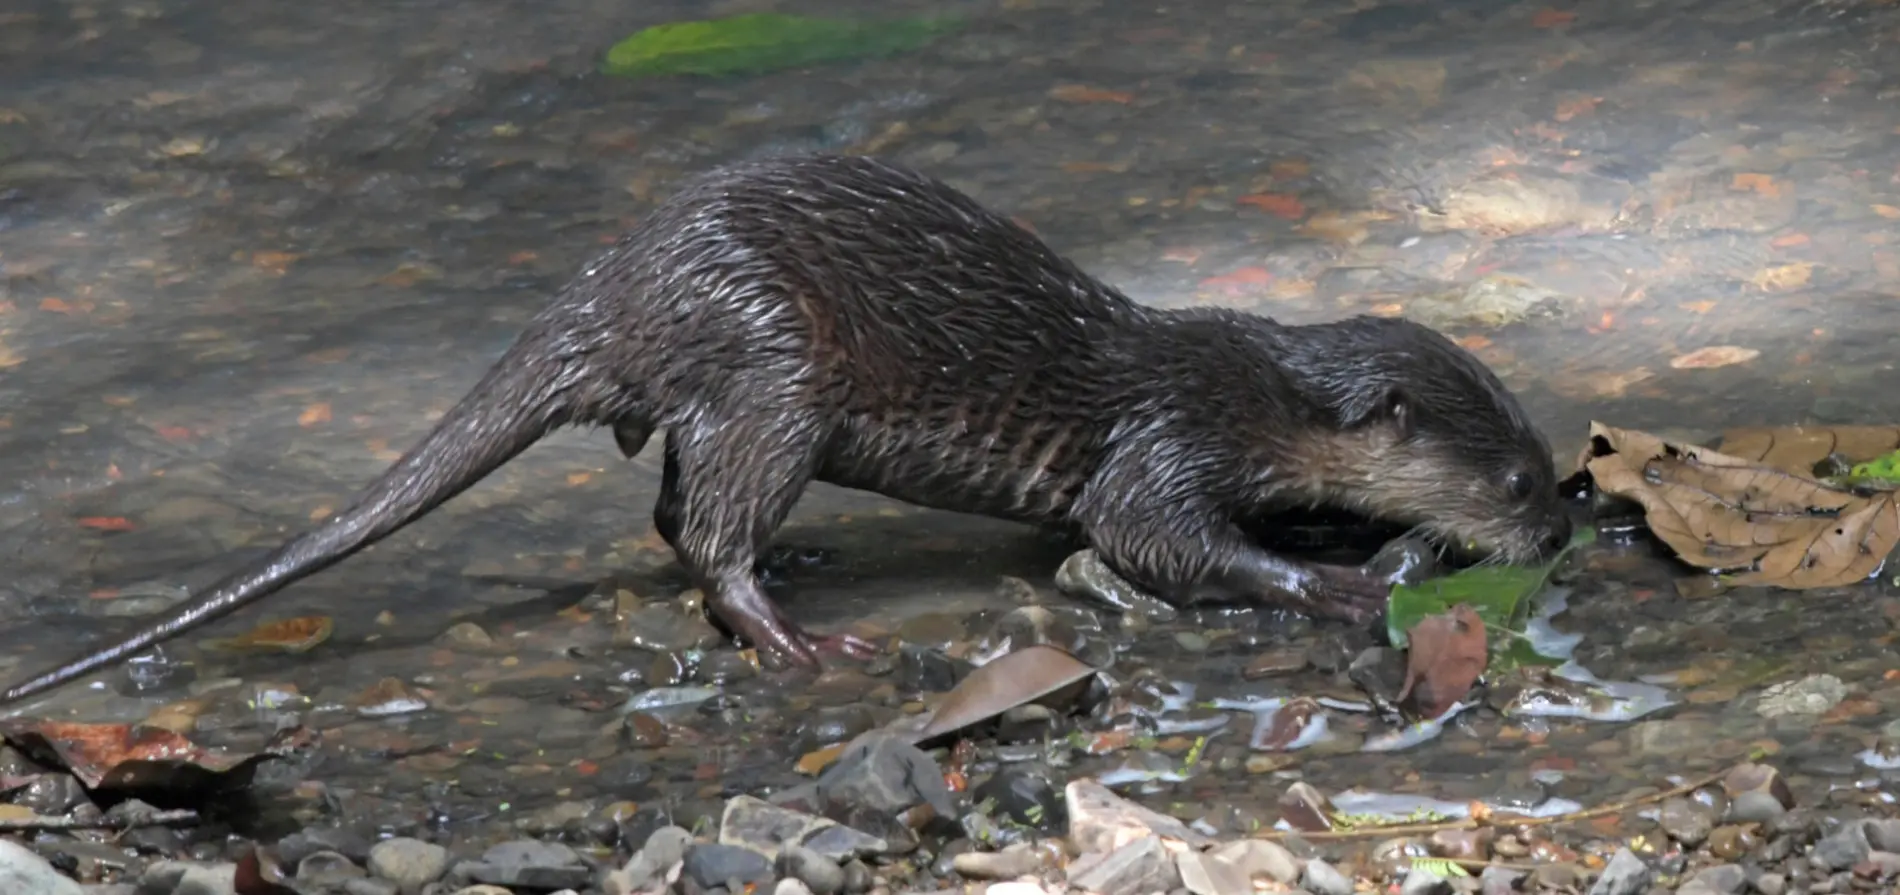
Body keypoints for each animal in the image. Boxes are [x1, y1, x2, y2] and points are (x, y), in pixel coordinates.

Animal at [0, 154, 1569, 705]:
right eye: (1512, 475)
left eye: (1553, 461)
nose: (1562, 525)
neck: (1252, 393)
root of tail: (614, 287)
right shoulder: (1167, 438)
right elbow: (1151, 538)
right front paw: (1335, 577)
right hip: (772, 367)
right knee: (711, 527)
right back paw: (796, 629)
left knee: (672, 505)